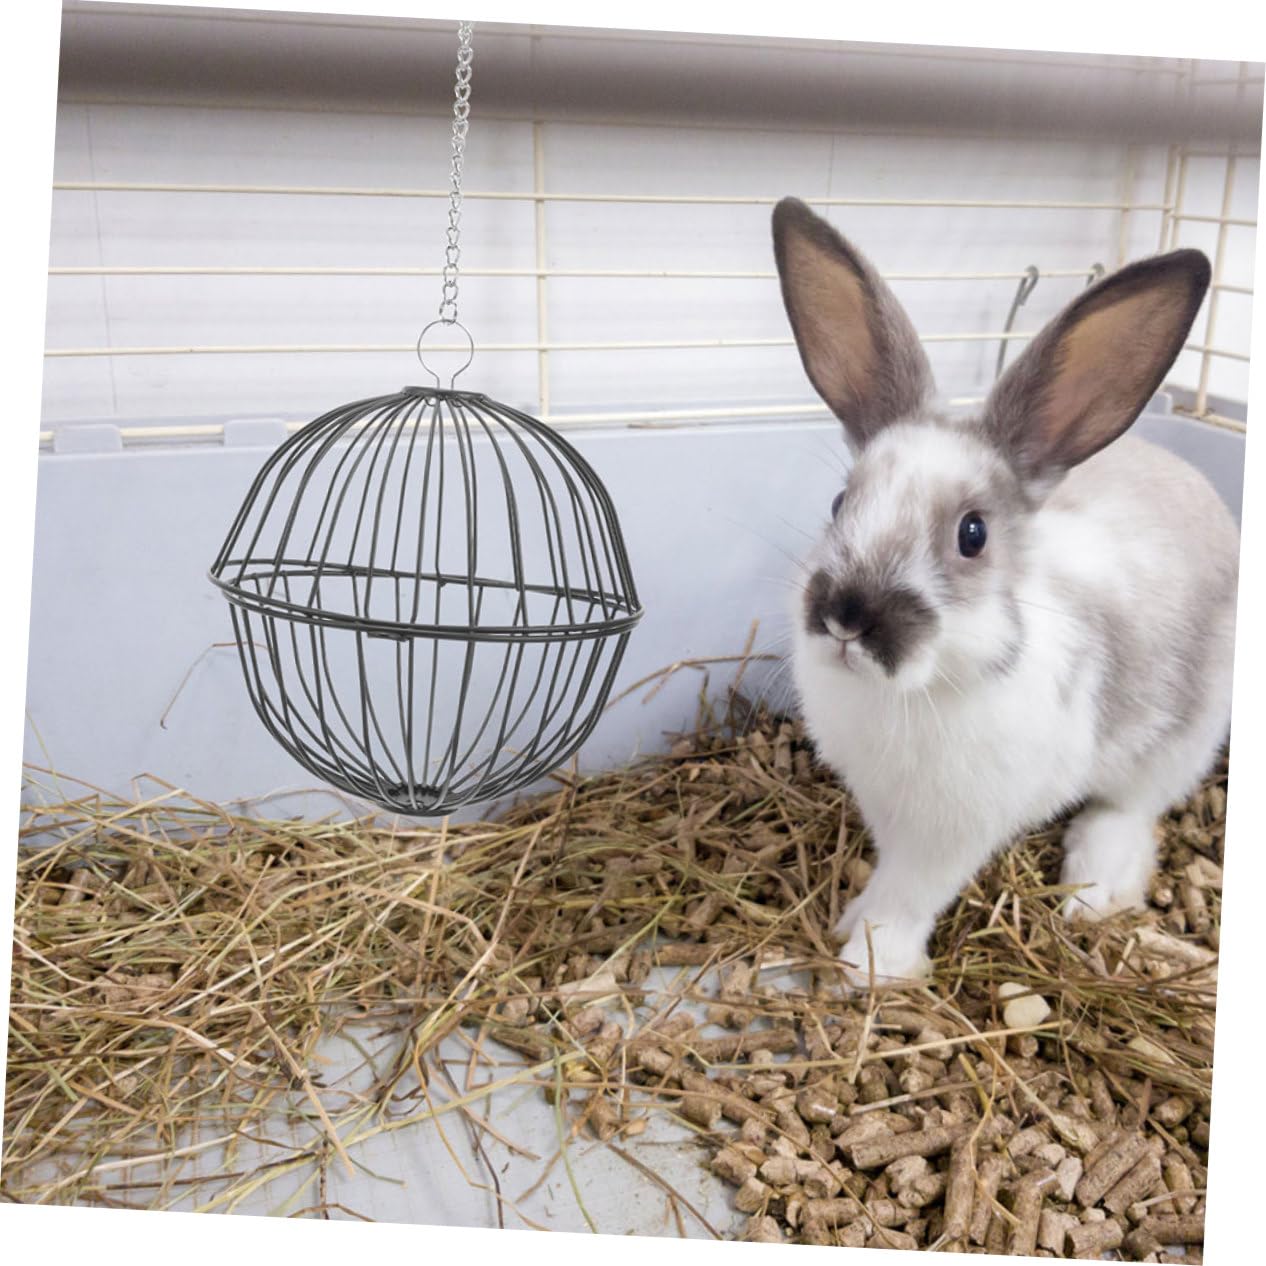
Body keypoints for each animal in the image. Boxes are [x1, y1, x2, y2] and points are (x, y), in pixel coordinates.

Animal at [771, 196, 1239, 987]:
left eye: (973, 534)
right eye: (840, 502)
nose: (846, 617)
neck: (917, 691)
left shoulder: (954, 832)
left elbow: (911, 892)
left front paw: (872, 963)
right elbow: (888, 875)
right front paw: (854, 926)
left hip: (1183, 738)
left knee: (1133, 809)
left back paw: (1092, 886)